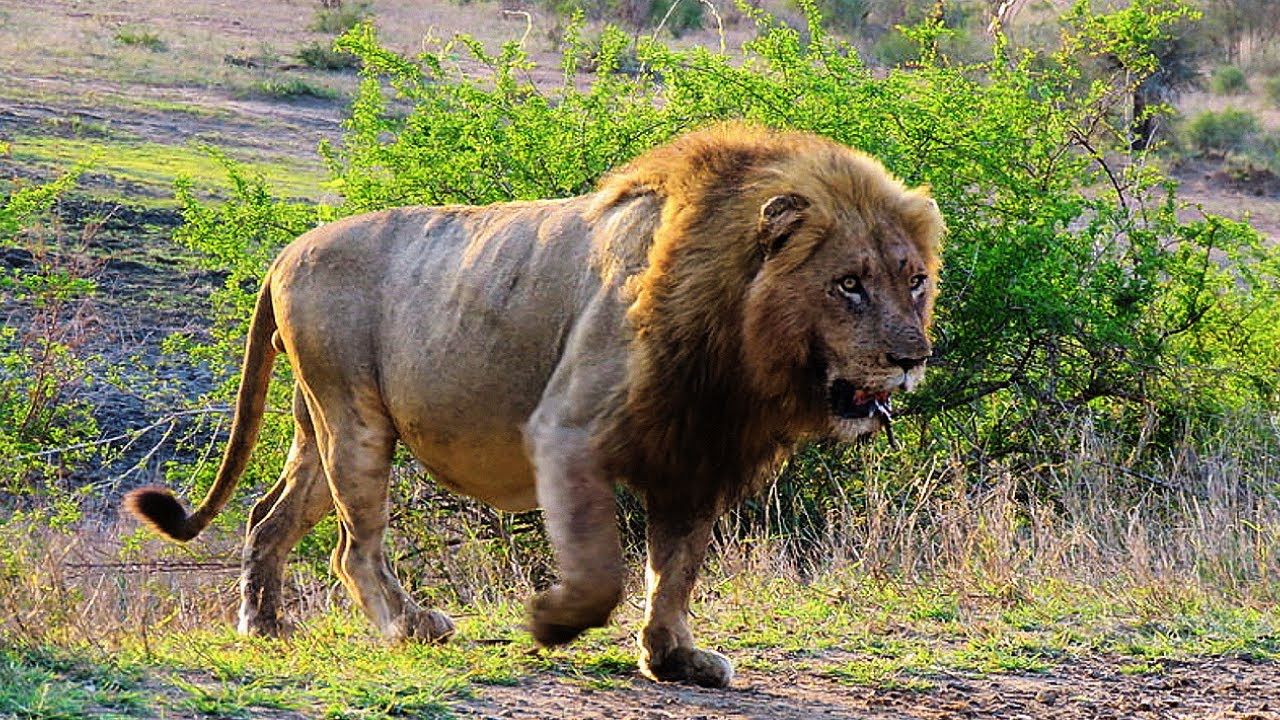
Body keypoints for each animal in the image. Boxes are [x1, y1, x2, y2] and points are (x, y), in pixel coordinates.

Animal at [124, 123, 944, 688]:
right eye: (848, 284)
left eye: (914, 281)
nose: (913, 358)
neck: (736, 346)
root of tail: (284, 252)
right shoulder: (567, 433)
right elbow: (606, 571)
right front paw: (551, 623)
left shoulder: (695, 453)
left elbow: (676, 567)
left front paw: (674, 659)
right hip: (353, 419)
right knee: (353, 548)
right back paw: (411, 626)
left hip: (320, 426)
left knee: (270, 518)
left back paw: (262, 628)